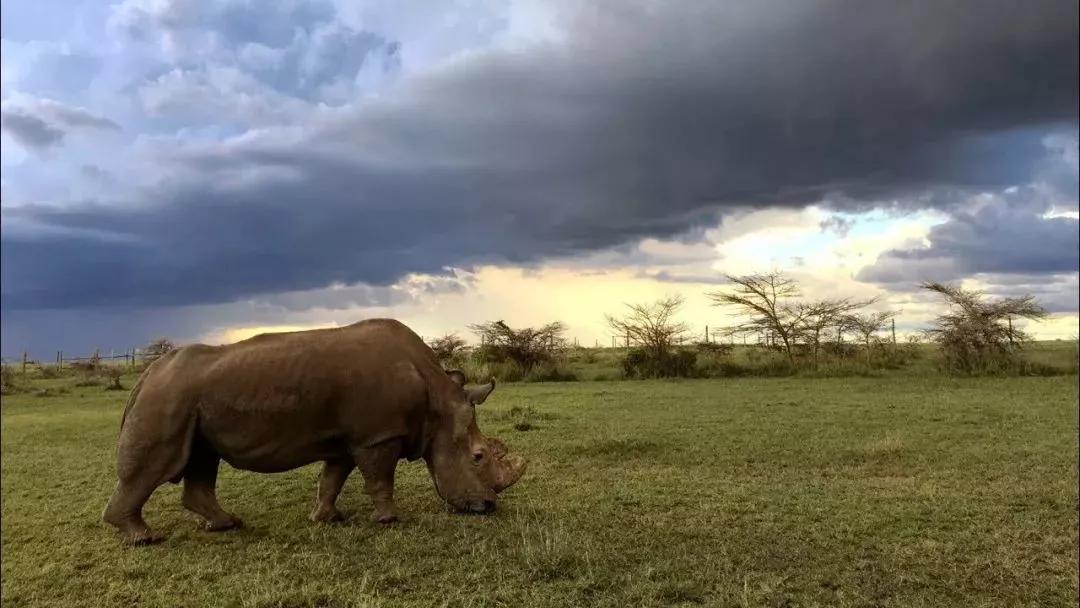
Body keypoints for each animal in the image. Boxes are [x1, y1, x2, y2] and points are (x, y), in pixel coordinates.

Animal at [102, 319, 527, 546]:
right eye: (478, 456)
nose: (488, 507)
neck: (437, 402)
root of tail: (146, 374)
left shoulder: (348, 440)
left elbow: (332, 478)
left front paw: (327, 518)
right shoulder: (378, 435)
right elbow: (380, 478)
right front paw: (391, 519)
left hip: (189, 401)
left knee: (203, 458)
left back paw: (227, 524)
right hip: (168, 396)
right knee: (158, 464)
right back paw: (144, 539)